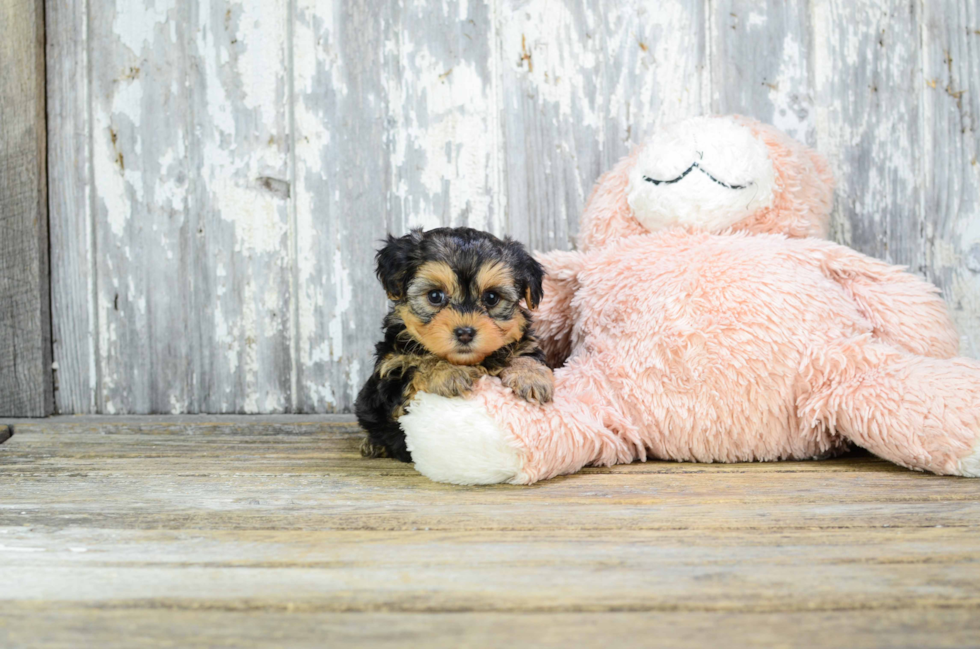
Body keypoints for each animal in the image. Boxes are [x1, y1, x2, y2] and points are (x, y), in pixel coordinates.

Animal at [356, 228, 556, 460]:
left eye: (491, 297)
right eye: (435, 296)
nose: (465, 333)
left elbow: (524, 354)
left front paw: (531, 376)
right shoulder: (392, 376)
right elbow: (417, 365)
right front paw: (447, 372)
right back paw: (373, 444)